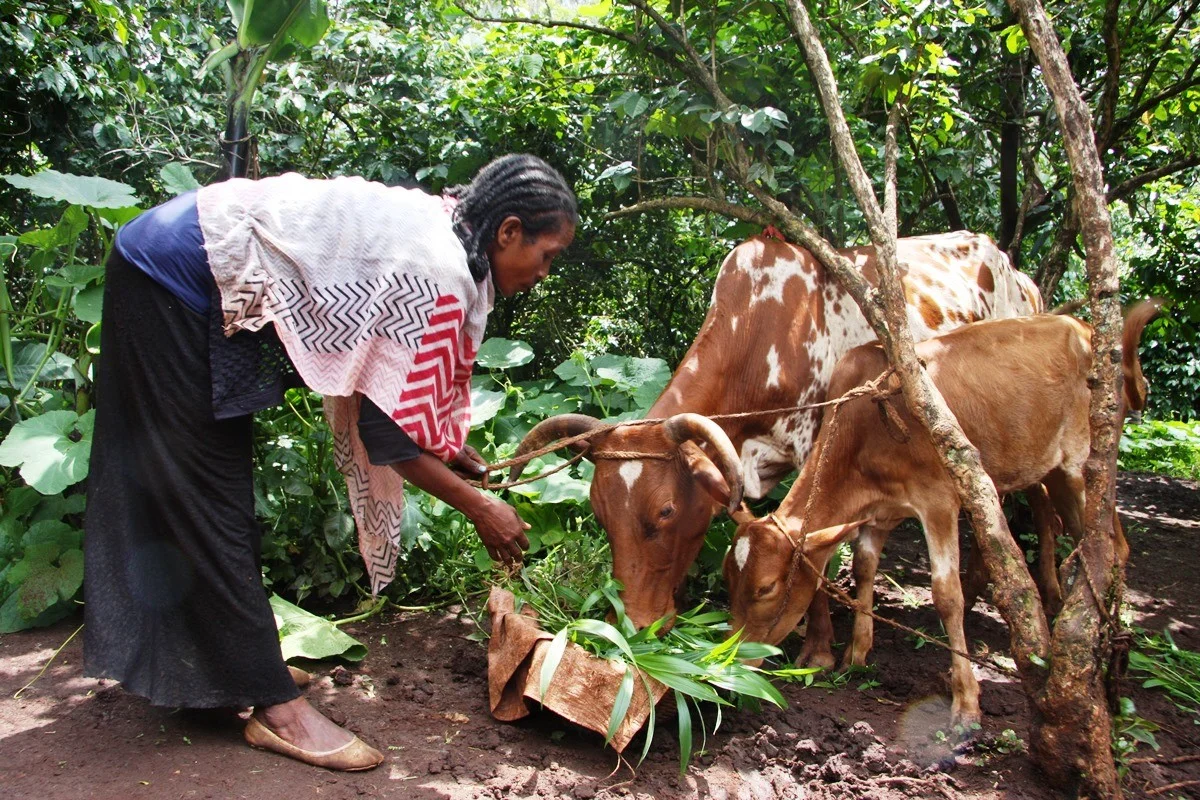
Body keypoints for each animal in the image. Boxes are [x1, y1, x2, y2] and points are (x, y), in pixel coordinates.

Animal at [513, 231, 1041, 633]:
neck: (760, 337)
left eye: (664, 512)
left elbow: (811, 548)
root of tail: (1019, 274)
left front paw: (817, 650)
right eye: (600, 513)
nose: (635, 623)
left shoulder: (816, 449)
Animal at [720, 303, 1161, 729]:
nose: (732, 661)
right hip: (1054, 472)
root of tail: (1086, 328)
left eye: (766, 588)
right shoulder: (878, 513)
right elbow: (864, 569)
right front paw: (856, 655)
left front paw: (966, 704)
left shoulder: (938, 503)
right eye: (729, 578)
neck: (861, 431)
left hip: (1082, 467)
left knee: (1113, 549)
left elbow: (947, 596)